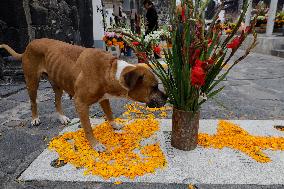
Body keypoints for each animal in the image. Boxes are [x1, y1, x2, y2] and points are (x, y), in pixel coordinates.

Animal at [0, 38, 166, 152]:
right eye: (154, 87)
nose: (167, 97)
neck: (110, 70)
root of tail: (29, 45)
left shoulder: (104, 98)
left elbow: (109, 113)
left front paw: (114, 125)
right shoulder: (80, 104)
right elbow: (88, 128)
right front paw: (95, 144)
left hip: (57, 83)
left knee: (57, 101)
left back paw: (61, 117)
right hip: (32, 82)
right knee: (33, 102)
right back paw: (35, 118)